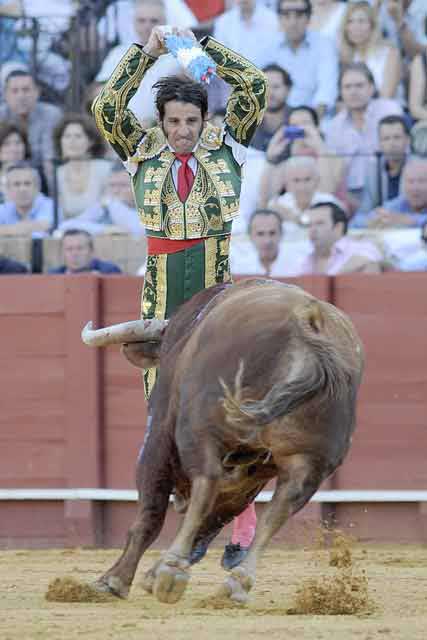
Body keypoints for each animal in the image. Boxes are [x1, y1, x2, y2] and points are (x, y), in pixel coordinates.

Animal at [83, 278, 364, 604]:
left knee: (206, 481)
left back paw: (171, 570)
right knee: (280, 509)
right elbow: (215, 517)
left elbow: (151, 514)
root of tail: (307, 326)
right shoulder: (251, 477)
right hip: (311, 463)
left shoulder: (159, 435)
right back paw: (237, 582)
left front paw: (114, 581)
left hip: (199, 428)